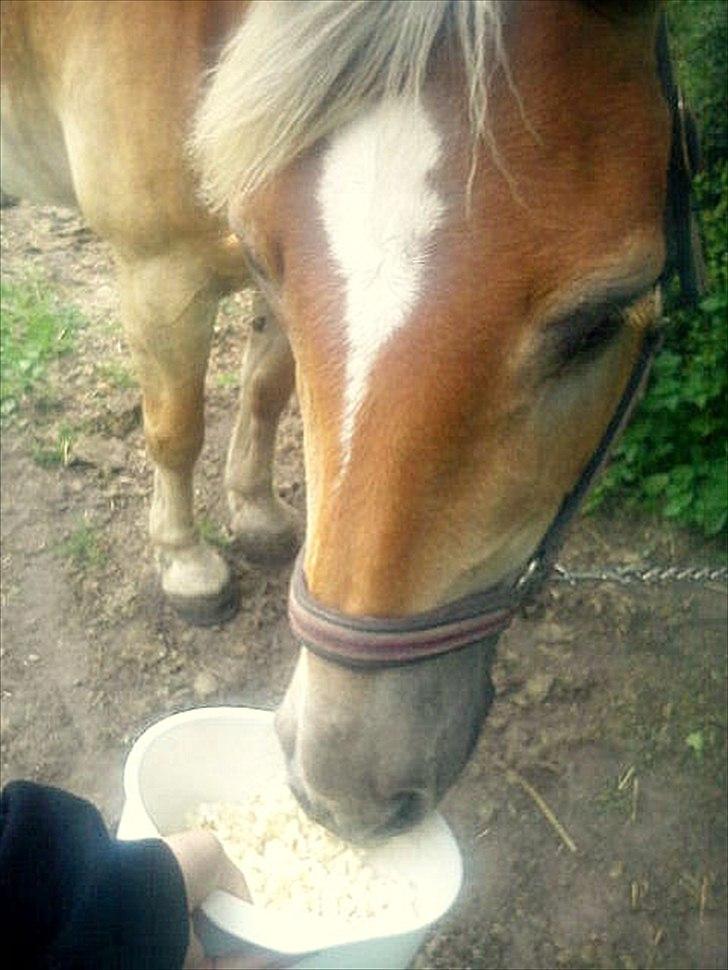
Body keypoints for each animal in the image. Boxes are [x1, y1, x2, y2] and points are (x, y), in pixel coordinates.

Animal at [1, 1, 704, 840]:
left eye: (597, 324)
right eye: (263, 258)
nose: (342, 779)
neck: (204, 39)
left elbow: (266, 390)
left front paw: (257, 513)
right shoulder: (159, 273)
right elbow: (177, 428)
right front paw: (186, 563)